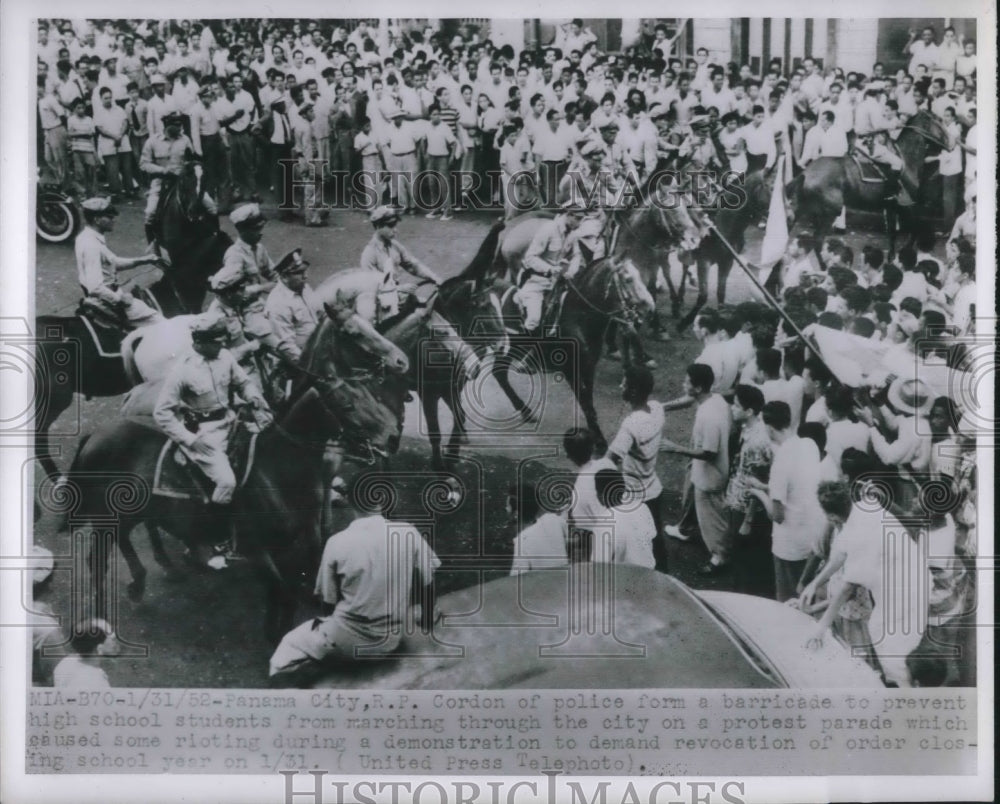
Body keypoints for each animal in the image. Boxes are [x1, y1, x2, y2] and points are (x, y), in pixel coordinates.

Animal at [60, 304, 410, 644]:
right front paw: (277, 631)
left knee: (131, 533)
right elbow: (284, 589)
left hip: (129, 511)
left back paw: (154, 574)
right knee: (101, 557)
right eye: (353, 333)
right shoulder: (257, 547)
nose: (392, 435)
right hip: (108, 516)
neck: (278, 467)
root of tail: (96, 434)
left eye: (368, 394)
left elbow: (305, 559)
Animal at [788, 110, 944, 258]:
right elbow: (914, 229)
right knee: (818, 240)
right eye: (938, 121)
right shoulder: (907, 206)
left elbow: (894, 233)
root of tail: (805, 173)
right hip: (830, 211)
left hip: (802, 208)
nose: (948, 143)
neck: (906, 160)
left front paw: (892, 256)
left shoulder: (891, 207)